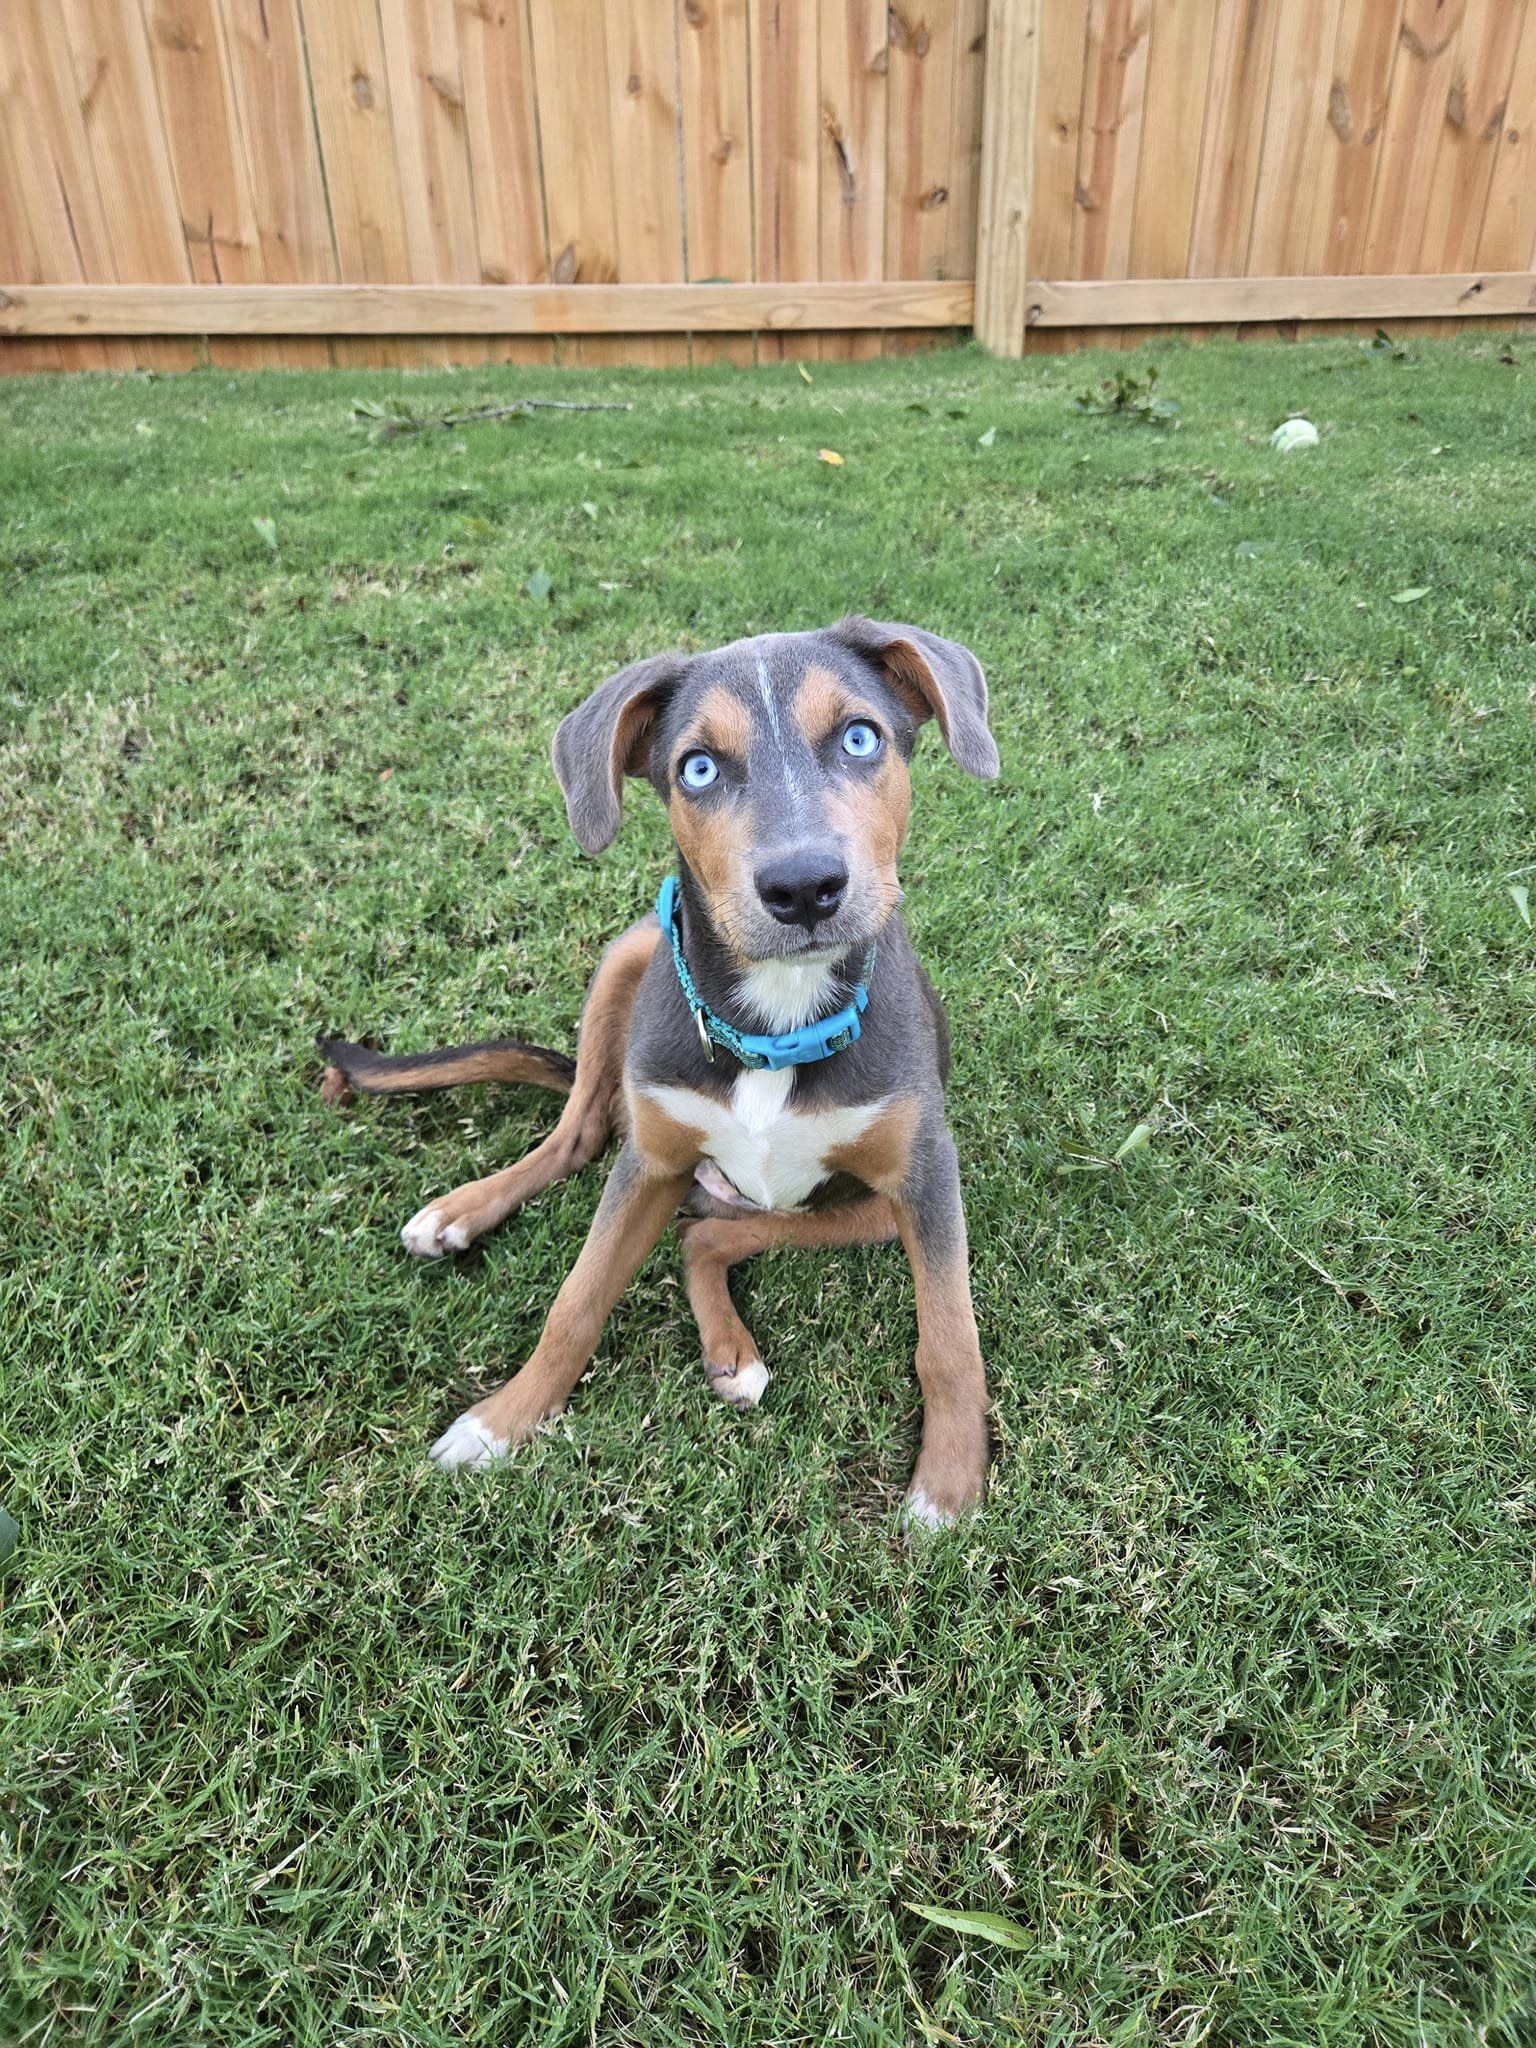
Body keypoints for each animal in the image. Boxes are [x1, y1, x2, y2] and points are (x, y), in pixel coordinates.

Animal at [319, 614, 1003, 1531]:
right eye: (698, 768)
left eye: (861, 738)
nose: (804, 888)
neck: (777, 1027)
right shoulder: (648, 1163)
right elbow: (575, 1300)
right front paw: (502, 1422)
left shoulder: (926, 1177)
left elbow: (950, 1337)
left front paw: (949, 1486)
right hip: (633, 953)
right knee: (582, 1133)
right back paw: (461, 1212)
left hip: (860, 1210)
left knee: (705, 1233)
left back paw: (732, 1353)